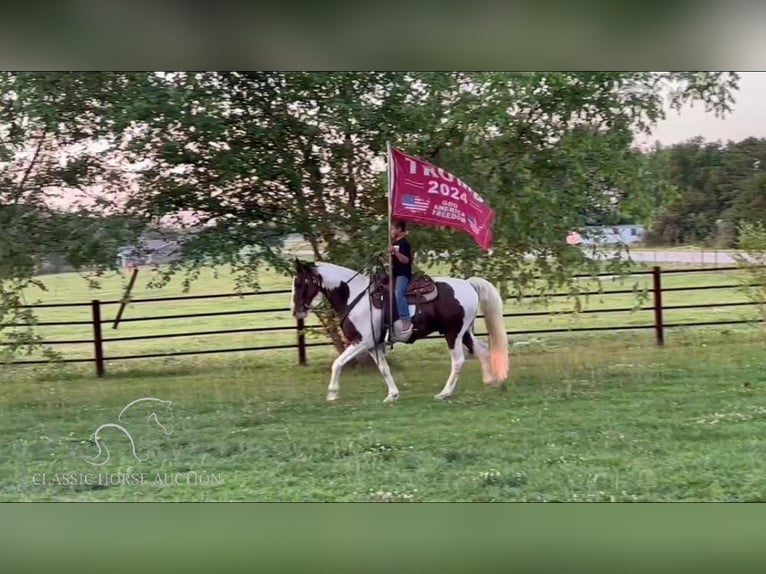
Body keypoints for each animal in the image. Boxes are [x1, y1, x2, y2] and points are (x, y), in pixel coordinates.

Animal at [288, 260, 510, 404]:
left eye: (300, 282)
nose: (296, 310)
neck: (355, 296)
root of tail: (468, 284)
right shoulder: (374, 345)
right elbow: (384, 369)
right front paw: (392, 395)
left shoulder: (362, 341)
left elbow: (338, 363)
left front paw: (332, 394)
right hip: (464, 333)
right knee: (482, 350)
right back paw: (490, 381)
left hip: (452, 334)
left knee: (458, 361)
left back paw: (445, 393)